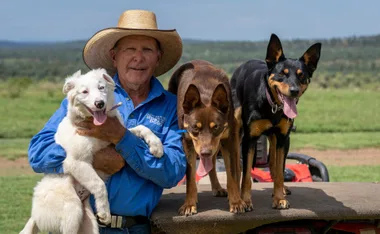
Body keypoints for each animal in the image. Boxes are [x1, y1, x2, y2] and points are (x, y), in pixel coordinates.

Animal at [20, 68, 163, 233]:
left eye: (101, 88)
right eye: (84, 92)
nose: (99, 103)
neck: (97, 128)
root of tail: (35, 216)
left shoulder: (118, 137)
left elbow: (141, 128)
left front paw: (157, 146)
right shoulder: (76, 161)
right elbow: (99, 185)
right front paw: (105, 212)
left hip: (89, 224)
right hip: (72, 210)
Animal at [168, 59, 246, 216]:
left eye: (215, 127)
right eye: (195, 127)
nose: (204, 153)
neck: (205, 95)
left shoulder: (229, 140)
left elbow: (232, 174)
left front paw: (236, 201)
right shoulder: (188, 143)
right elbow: (190, 177)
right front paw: (189, 204)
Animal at [230, 34, 322, 210]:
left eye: (301, 75)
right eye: (282, 74)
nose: (294, 91)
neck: (271, 104)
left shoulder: (282, 138)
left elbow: (279, 171)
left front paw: (279, 198)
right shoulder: (249, 139)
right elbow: (246, 175)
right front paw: (245, 201)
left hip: (279, 140)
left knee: (274, 164)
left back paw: (282, 189)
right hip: (237, 130)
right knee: (238, 166)